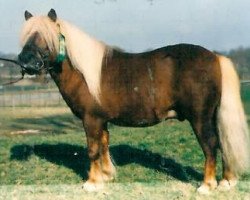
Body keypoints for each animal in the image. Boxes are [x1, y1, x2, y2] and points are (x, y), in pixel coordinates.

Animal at [18, 9, 250, 194]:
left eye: (46, 36)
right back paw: (226, 181)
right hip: (213, 115)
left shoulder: (90, 119)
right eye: (27, 36)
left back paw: (207, 185)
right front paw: (107, 176)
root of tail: (215, 57)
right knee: (223, 142)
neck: (84, 72)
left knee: (210, 145)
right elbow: (104, 144)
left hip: (200, 117)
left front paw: (92, 183)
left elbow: (92, 149)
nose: (25, 61)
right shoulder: (101, 120)